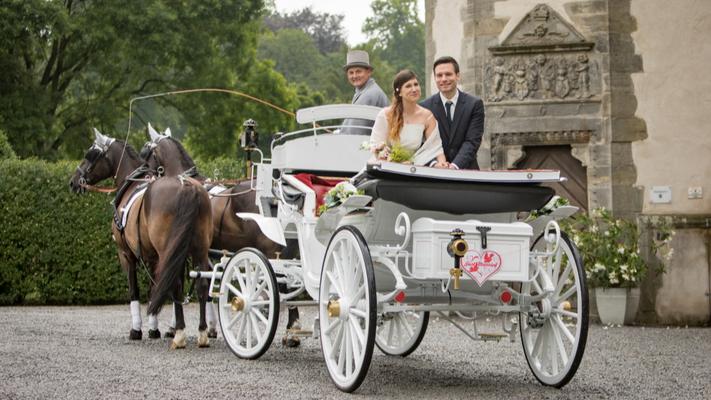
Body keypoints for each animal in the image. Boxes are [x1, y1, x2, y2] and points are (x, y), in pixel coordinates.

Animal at [69, 130, 214, 348]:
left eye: (90, 154)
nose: (74, 181)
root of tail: (187, 186)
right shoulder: (154, 257)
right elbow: (154, 289)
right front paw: (154, 327)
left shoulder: (126, 254)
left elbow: (135, 291)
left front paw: (137, 329)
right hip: (198, 250)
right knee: (201, 284)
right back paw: (203, 332)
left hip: (169, 251)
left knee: (177, 286)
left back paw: (180, 334)